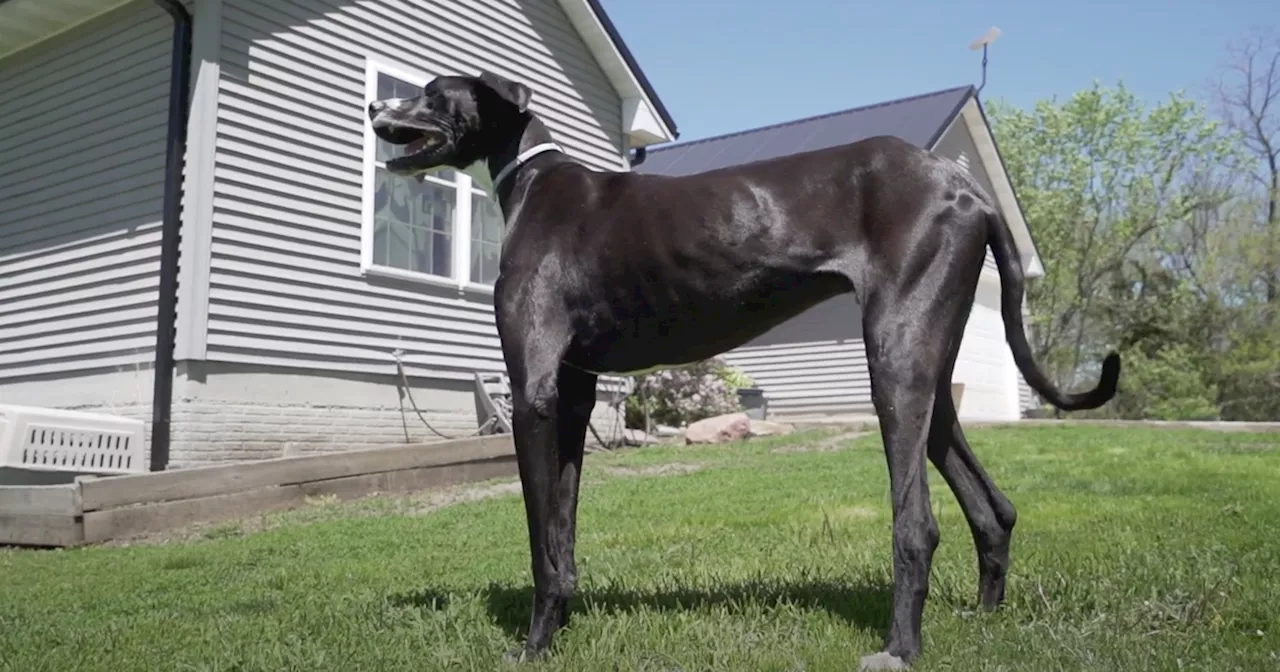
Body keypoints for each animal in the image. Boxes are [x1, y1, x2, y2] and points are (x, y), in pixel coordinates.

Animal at [366, 70, 1116, 665]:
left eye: (432, 93)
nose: (375, 106)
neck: (533, 178)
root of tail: (970, 190)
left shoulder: (533, 394)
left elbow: (538, 539)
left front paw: (533, 646)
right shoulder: (575, 392)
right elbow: (563, 528)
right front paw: (563, 626)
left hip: (895, 367)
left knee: (918, 526)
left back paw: (900, 648)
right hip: (931, 375)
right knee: (995, 508)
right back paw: (983, 618)